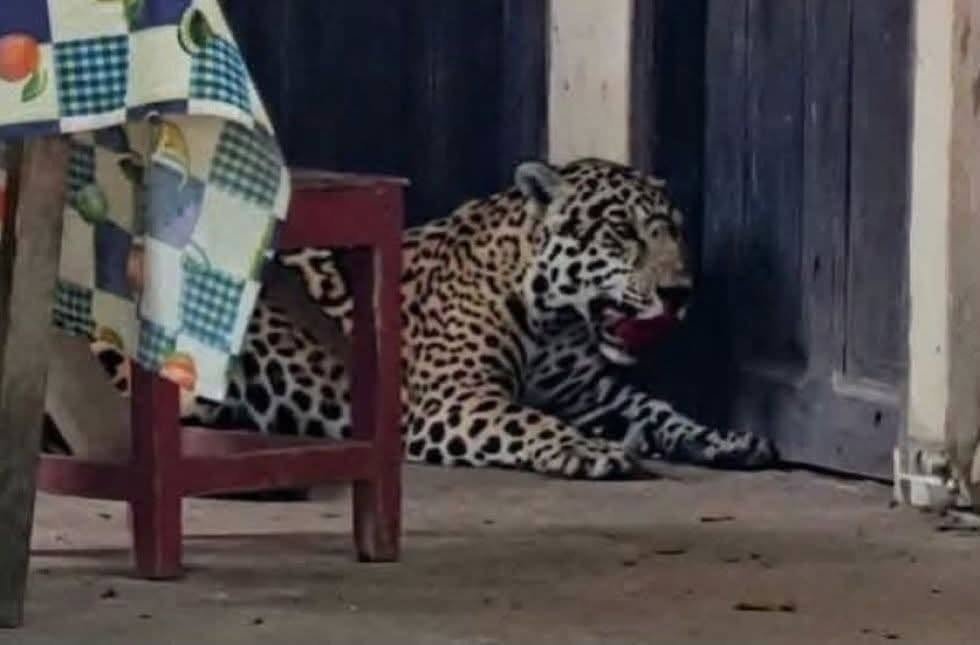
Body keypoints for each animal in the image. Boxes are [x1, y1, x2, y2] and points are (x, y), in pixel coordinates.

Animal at [52, 158, 777, 479]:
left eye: (675, 232)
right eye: (621, 232)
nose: (681, 291)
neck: (556, 322)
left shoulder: (595, 394)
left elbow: (661, 409)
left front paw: (723, 439)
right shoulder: (453, 399)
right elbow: (530, 419)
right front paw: (588, 450)